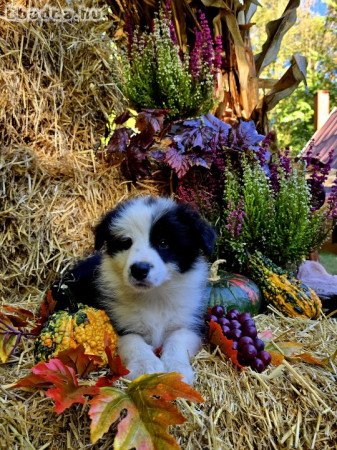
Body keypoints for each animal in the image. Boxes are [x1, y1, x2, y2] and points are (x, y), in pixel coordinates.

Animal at [56, 196, 215, 384]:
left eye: (163, 243)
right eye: (126, 243)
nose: (139, 269)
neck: (154, 296)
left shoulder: (191, 322)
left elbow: (178, 338)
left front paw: (176, 368)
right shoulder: (115, 323)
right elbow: (133, 340)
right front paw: (145, 366)